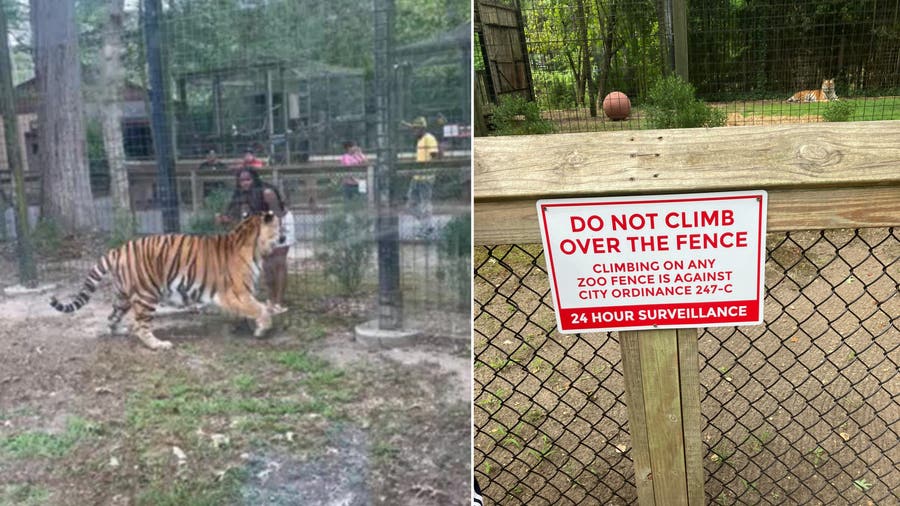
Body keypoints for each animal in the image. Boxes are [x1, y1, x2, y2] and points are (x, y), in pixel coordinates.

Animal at [48, 211, 284, 350]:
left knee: (112, 317)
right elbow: (260, 308)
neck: (254, 245)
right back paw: (159, 345)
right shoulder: (234, 293)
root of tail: (118, 250)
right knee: (140, 325)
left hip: (122, 297)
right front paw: (263, 329)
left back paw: (119, 331)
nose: (285, 235)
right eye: (280, 226)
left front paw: (253, 325)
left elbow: (256, 308)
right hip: (146, 295)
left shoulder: (241, 294)